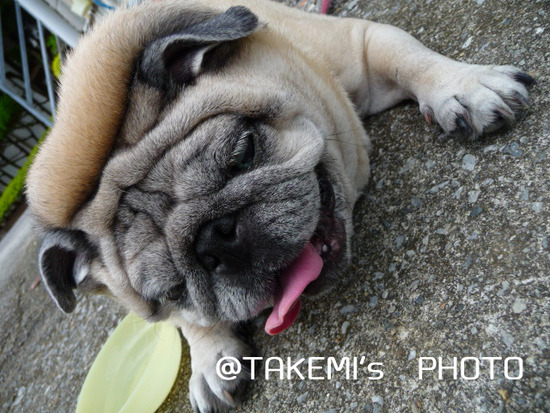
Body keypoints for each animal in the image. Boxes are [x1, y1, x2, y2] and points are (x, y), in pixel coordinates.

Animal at [25, 1, 536, 410]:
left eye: (243, 152)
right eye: (173, 290)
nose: (216, 242)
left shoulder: (361, 41)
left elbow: (407, 56)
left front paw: (464, 84)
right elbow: (183, 323)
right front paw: (208, 355)